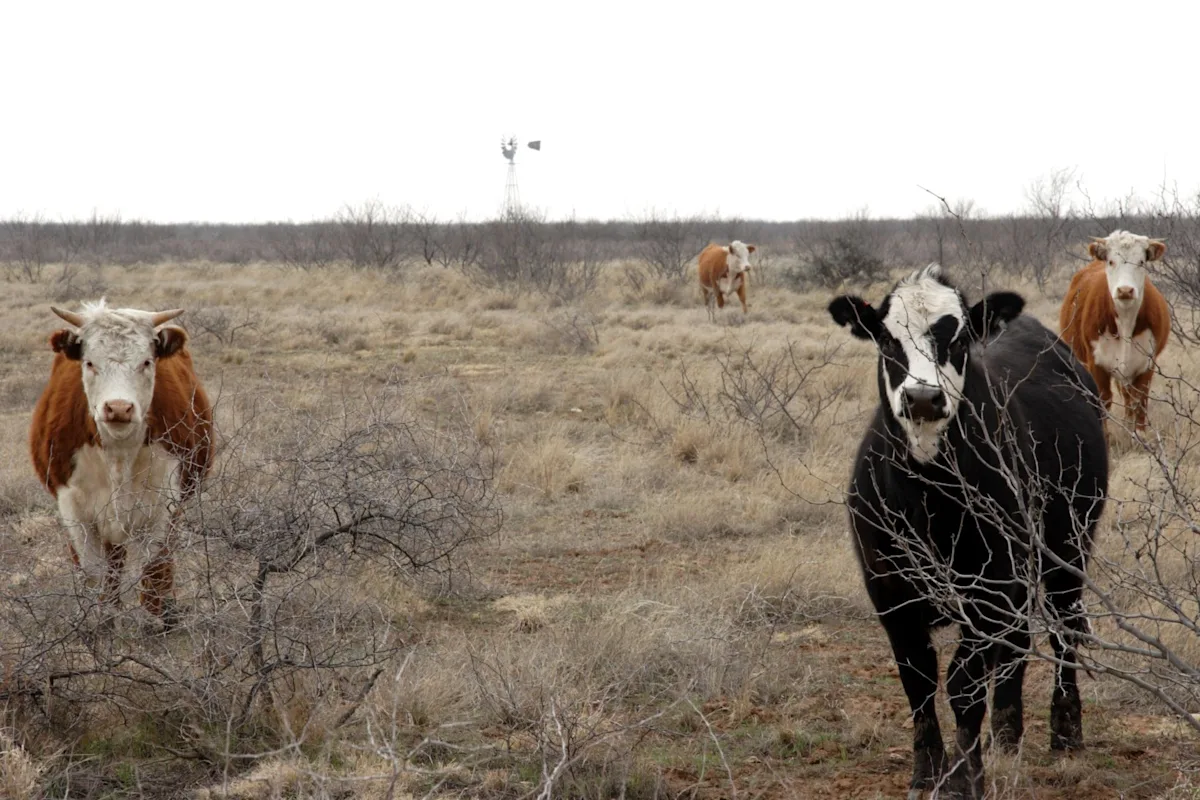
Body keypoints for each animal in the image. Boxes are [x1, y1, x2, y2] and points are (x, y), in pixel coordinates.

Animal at [30, 300, 213, 630]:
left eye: (146, 362)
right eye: (89, 363)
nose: (118, 408)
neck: (118, 455)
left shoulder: (165, 503)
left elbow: (153, 564)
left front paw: (151, 619)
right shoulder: (72, 506)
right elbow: (93, 569)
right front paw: (95, 618)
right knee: (113, 560)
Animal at [828, 265, 1108, 799]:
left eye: (956, 340)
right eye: (887, 340)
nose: (922, 397)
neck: (928, 496)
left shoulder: (989, 588)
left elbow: (963, 683)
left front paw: (963, 776)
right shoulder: (889, 592)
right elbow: (918, 680)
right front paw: (926, 771)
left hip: (1068, 546)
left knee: (1062, 633)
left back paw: (1065, 731)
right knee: (1018, 642)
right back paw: (1007, 735)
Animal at [1058, 230, 1171, 433]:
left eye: (1141, 261)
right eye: (1111, 261)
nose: (1125, 290)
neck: (1125, 321)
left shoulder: (1147, 364)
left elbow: (1139, 402)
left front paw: (1138, 435)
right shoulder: (1096, 364)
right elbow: (1102, 400)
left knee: (1128, 398)